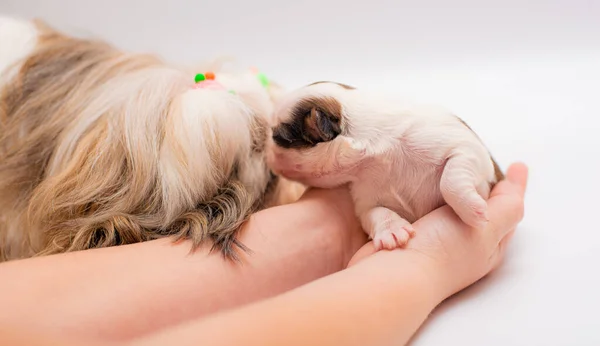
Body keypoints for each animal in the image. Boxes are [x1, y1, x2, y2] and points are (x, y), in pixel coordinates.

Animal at [268, 81, 502, 251]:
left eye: (279, 137)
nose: (267, 156)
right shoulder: (364, 193)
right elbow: (375, 212)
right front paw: (392, 232)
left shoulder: (466, 148)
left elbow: (450, 180)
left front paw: (474, 211)